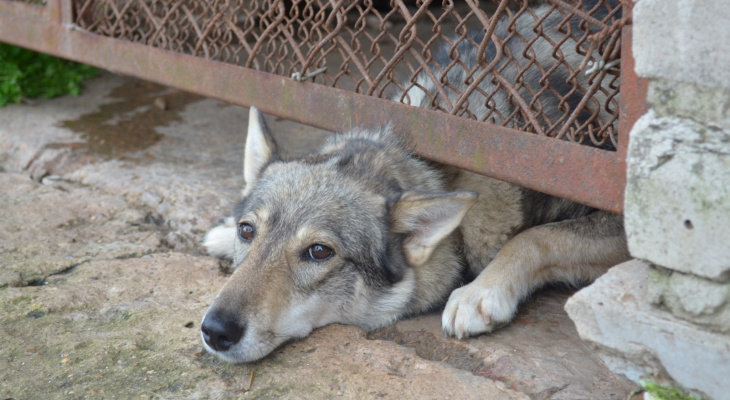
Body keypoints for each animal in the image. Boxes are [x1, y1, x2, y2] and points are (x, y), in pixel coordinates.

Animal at [198, 0, 624, 362]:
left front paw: (481, 291)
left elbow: (534, 238)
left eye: (319, 252)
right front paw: (221, 234)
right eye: (248, 231)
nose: (214, 330)